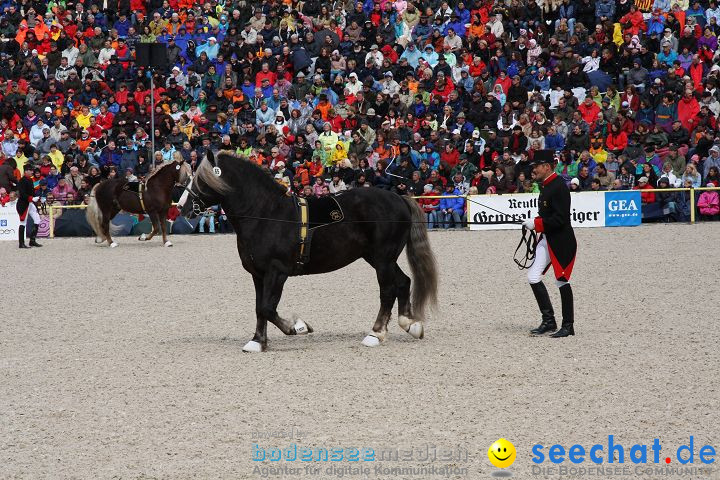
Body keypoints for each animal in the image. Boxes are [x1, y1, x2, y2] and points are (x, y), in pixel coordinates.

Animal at [180, 151, 438, 352]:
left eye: (201, 180)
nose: (183, 208)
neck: (266, 214)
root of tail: (399, 198)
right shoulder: (258, 274)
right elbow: (259, 308)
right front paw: (257, 341)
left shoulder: (277, 272)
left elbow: (267, 307)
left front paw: (298, 326)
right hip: (378, 258)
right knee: (403, 282)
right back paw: (411, 325)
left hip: (383, 259)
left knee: (387, 291)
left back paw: (375, 334)